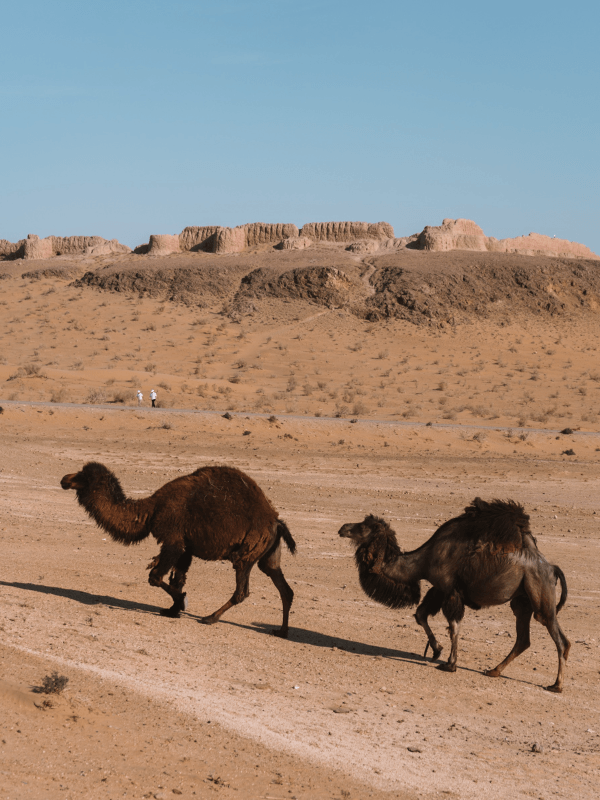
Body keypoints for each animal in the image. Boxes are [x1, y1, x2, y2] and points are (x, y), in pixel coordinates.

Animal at [61, 462, 296, 636]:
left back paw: (210, 617)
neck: (151, 510)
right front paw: (172, 610)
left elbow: (155, 577)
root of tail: (276, 522)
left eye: (82, 475)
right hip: (268, 554)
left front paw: (182, 602)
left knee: (242, 590)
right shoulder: (187, 548)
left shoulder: (173, 540)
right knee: (283, 587)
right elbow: (178, 578)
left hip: (247, 551)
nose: (64, 479)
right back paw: (281, 631)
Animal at [340, 500, 568, 692]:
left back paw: (556, 685)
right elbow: (421, 615)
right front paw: (436, 650)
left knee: (559, 638)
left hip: (541, 595)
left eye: (364, 526)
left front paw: (450, 664)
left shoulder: (450, 590)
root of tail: (552, 568)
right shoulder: (438, 589)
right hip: (521, 602)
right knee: (523, 639)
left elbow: (454, 627)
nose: (343, 528)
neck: (423, 561)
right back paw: (494, 671)